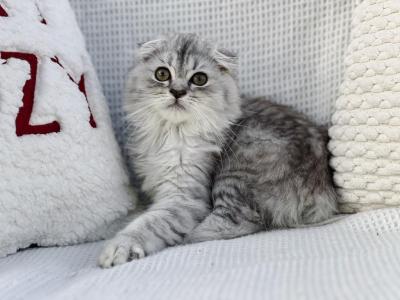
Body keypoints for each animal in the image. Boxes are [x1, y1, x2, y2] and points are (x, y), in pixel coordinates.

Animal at [97, 32, 338, 268]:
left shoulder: (185, 198)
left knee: (238, 221)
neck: (172, 133)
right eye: (162, 74)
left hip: (237, 169)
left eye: (199, 79)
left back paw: (188, 237)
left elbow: (148, 223)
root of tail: (324, 189)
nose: (177, 91)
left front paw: (121, 246)